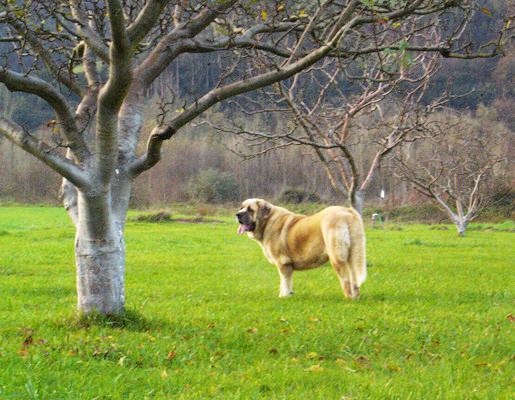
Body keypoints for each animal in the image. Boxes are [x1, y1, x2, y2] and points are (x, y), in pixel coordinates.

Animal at [238, 198, 366, 298]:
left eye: (250, 210)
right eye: (241, 208)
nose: (237, 214)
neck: (267, 221)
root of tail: (348, 211)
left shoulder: (283, 263)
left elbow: (284, 282)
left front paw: (283, 297)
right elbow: (285, 283)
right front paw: (287, 295)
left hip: (336, 256)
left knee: (345, 280)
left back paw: (348, 298)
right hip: (353, 256)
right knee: (354, 279)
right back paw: (356, 297)